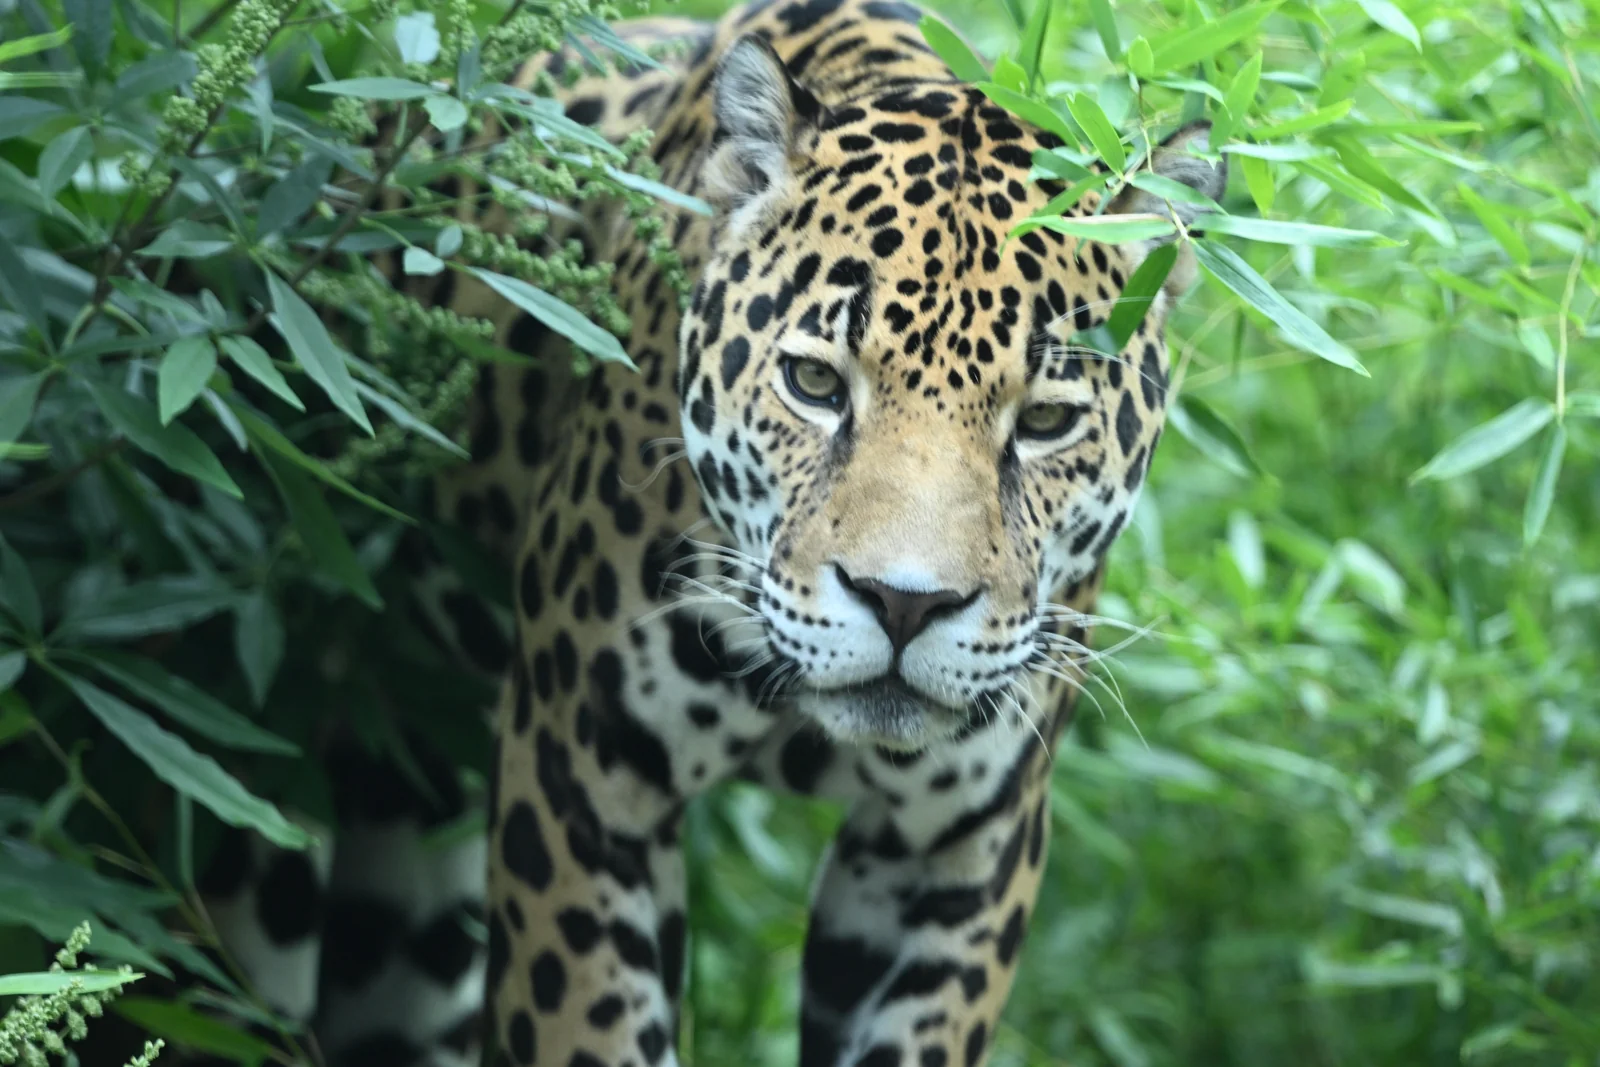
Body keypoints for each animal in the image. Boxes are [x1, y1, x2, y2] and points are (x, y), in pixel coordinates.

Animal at [189, 1, 1227, 1065]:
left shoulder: (958, 851)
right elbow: (586, 1022)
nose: (904, 605)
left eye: (1047, 420)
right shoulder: (579, 776)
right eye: (814, 384)